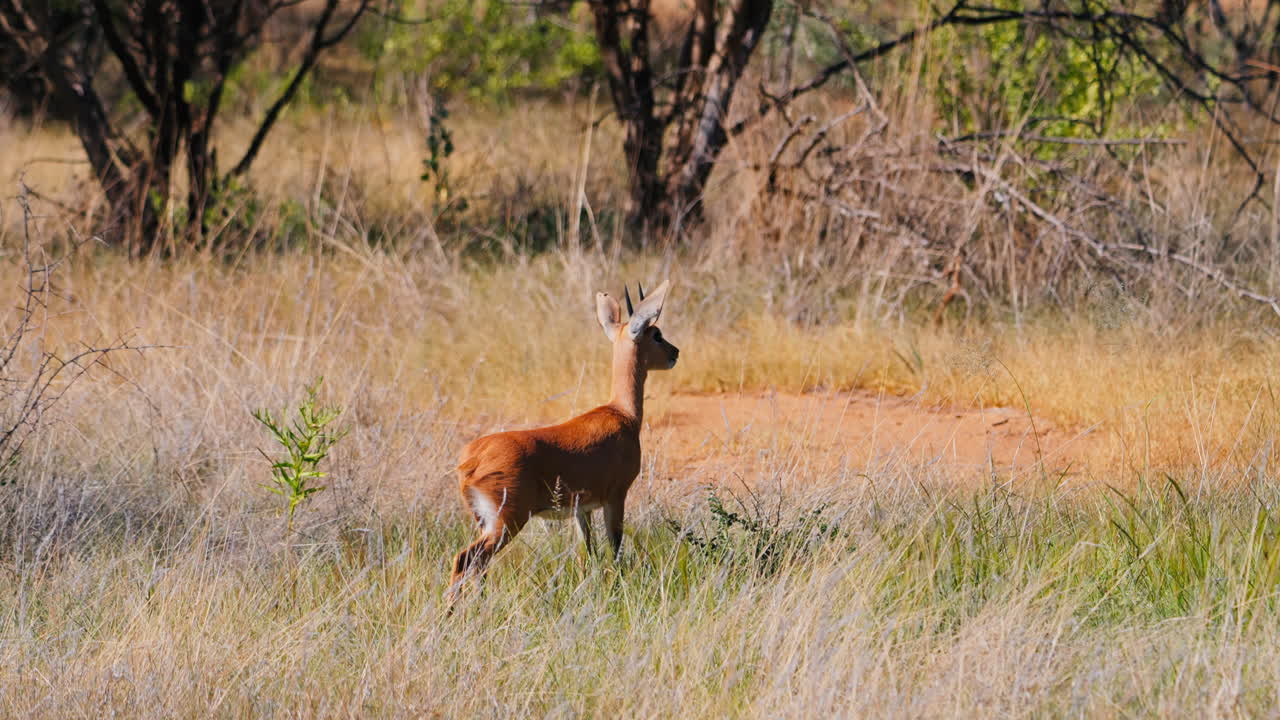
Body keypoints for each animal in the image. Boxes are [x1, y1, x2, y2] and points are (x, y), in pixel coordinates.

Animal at [446, 281, 679, 603]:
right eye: (656, 334)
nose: (675, 352)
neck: (622, 413)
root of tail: (471, 460)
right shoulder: (615, 497)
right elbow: (615, 549)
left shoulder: (583, 509)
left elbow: (588, 553)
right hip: (507, 522)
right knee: (466, 559)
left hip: (486, 522)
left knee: (478, 566)